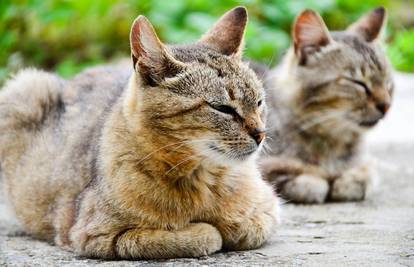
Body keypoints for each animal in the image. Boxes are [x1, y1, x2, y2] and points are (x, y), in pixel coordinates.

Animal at [0, 7, 280, 260]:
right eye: (222, 108)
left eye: (259, 102)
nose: (261, 134)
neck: (201, 179)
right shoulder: (96, 235)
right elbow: (201, 235)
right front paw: (208, 230)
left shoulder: (267, 209)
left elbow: (246, 227)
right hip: (24, 87)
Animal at [260, 7, 392, 205]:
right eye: (358, 83)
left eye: (387, 82)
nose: (386, 105)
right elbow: (294, 176)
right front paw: (315, 181)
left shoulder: (365, 163)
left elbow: (365, 174)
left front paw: (349, 180)